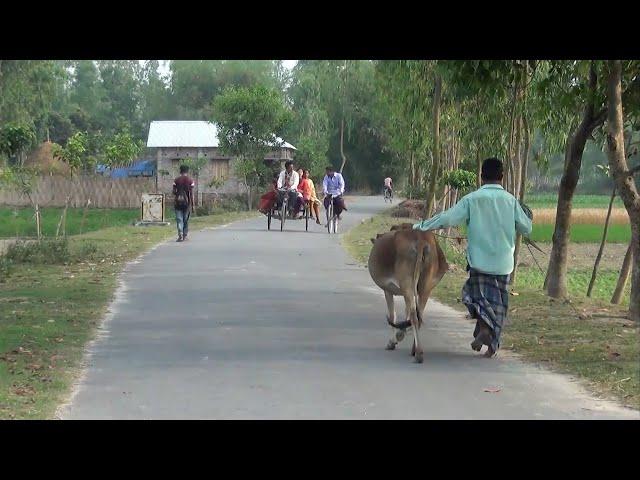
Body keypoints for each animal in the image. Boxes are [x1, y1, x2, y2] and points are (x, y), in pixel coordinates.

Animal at [368, 225, 448, 364]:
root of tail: (420, 238)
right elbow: (405, 312)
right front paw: (400, 334)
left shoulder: (387, 290)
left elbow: (392, 315)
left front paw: (392, 341)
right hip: (425, 287)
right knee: (418, 314)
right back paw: (414, 349)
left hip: (407, 284)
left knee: (414, 316)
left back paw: (418, 354)